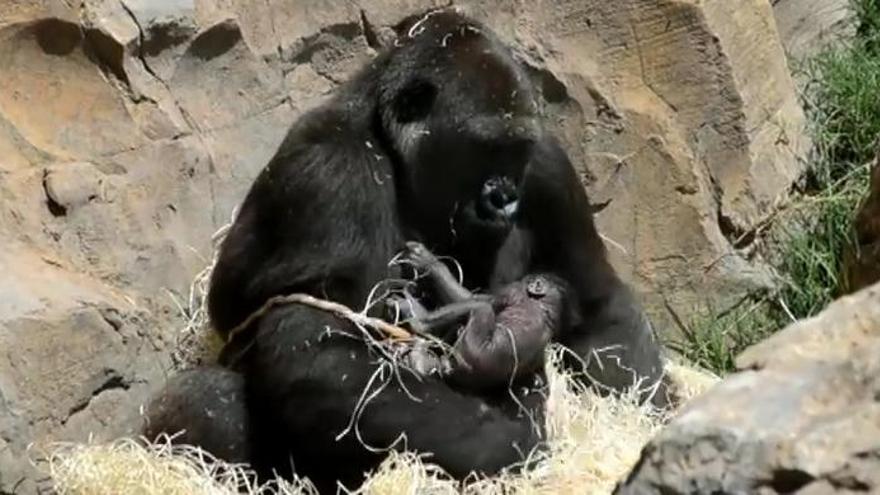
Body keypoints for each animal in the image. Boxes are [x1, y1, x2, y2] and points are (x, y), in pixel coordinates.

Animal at [394, 241, 572, 392]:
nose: (529, 279)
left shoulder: (511, 291)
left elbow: (469, 298)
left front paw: (427, 262)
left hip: (469, 355)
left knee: (480, 307)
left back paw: (419, 324)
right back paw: (421, 360)